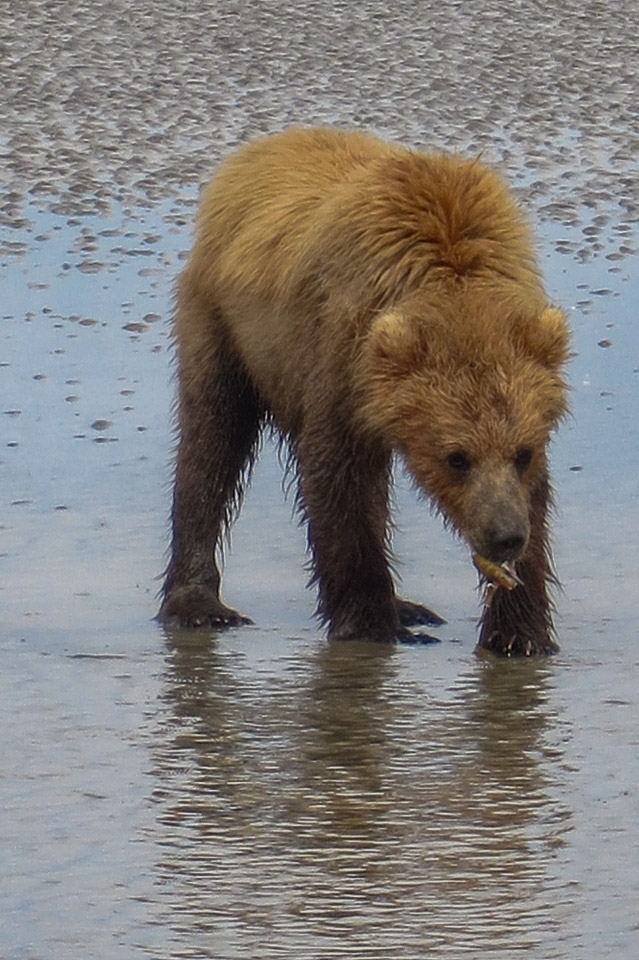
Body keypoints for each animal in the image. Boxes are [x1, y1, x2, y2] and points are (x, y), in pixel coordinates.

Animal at [160, 125, 568, 652]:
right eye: (456, 457)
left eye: (522, 453)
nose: (504, 535)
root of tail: (256, 151)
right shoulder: (342, 355)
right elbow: (338, 476)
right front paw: (373, 622)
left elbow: (535, 498)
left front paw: (518, 632)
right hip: (221, 325)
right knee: (212, 440)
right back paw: (199, 604)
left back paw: (410, 605)